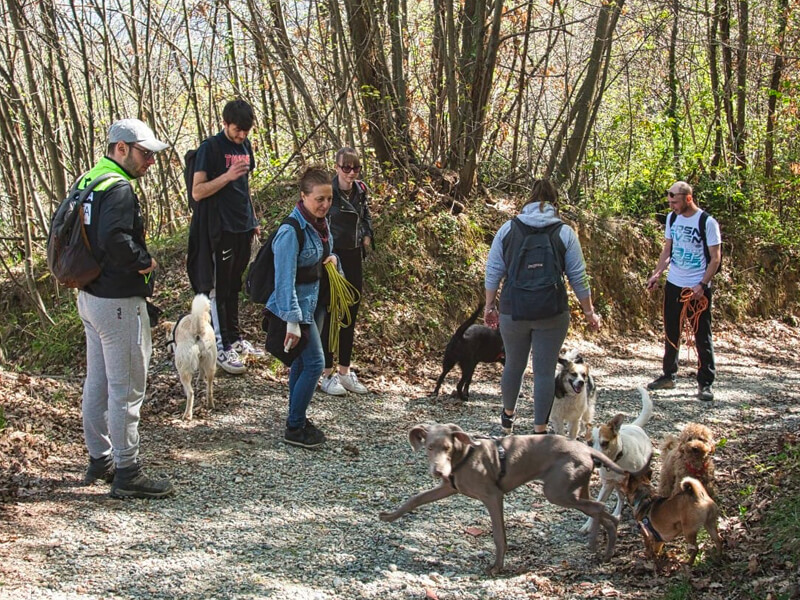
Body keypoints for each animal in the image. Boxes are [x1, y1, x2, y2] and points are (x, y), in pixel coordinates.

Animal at [378, 422, 628, 572]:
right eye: (429, 447)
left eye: (447, 447)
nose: (438, 471)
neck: (465, 455)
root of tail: (587, 449)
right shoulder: (449, 487)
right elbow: (415, 499)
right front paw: (389, 516)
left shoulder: (493, 496)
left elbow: (499, 535)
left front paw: (497, 566)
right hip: (574, 488)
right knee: (605, 512)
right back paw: (606, 550)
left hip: (557, 492)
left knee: (598, 507)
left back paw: (595, 544)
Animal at [580, 384, 652, 536]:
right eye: (589, 443)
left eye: (605, 443)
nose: (596, 462)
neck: (616, 461)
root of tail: (634, 426)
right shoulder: (607, 485)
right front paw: (588, 525)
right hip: (618, 485)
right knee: (621, 498)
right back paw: (617, 514)